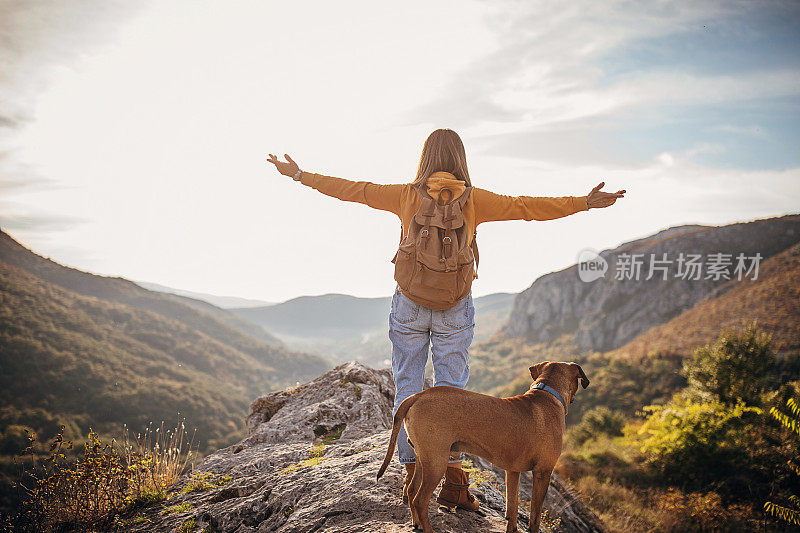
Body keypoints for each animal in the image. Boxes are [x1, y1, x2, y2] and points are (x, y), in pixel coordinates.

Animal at [376, 360, 588, 528]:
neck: (547, 394)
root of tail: (417, 396)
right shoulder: (543, 472)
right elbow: (534, 517)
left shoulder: (513, 472)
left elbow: (512, 511)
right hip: (436, 461)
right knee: (420, 500)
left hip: (424, 458)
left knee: (411, 491)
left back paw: (417, 524)